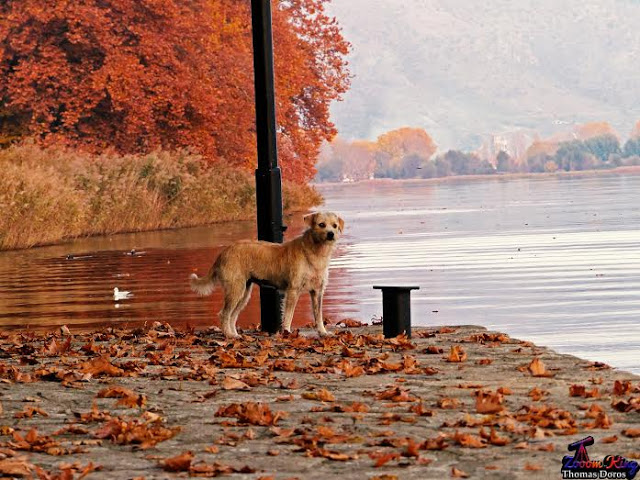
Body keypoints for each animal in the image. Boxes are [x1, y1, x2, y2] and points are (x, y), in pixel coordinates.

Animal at [188, 212, 342, 340]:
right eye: (321, 224)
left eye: (335, 225)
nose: (331, 234)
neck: (314, 252)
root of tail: (223, 252)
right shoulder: (293, 290)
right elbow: (288, 315)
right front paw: (287, 332)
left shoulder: (317, 292)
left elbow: (318, 315)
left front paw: (323, 332)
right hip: (235, 290)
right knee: (224, 314)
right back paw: (229, 335)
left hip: (243, 293)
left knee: (232, 315)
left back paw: (235, 334)